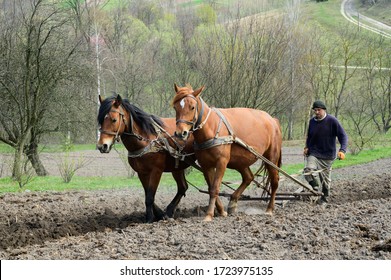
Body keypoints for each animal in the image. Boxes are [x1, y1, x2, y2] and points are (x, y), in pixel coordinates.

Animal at [172, 83, 282, 221]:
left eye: (192, 107)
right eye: (175, 107)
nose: (180, 133)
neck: (211, 129)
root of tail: (272, 120)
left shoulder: (222, 162)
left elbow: (215, 188)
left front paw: (209, 215)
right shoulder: (206, 165)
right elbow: (211, 187)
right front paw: (221, 211)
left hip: (271, 157)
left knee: (274, 182)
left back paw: (269, 209)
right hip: (240, 161)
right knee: (248, 177)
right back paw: (233, 202)